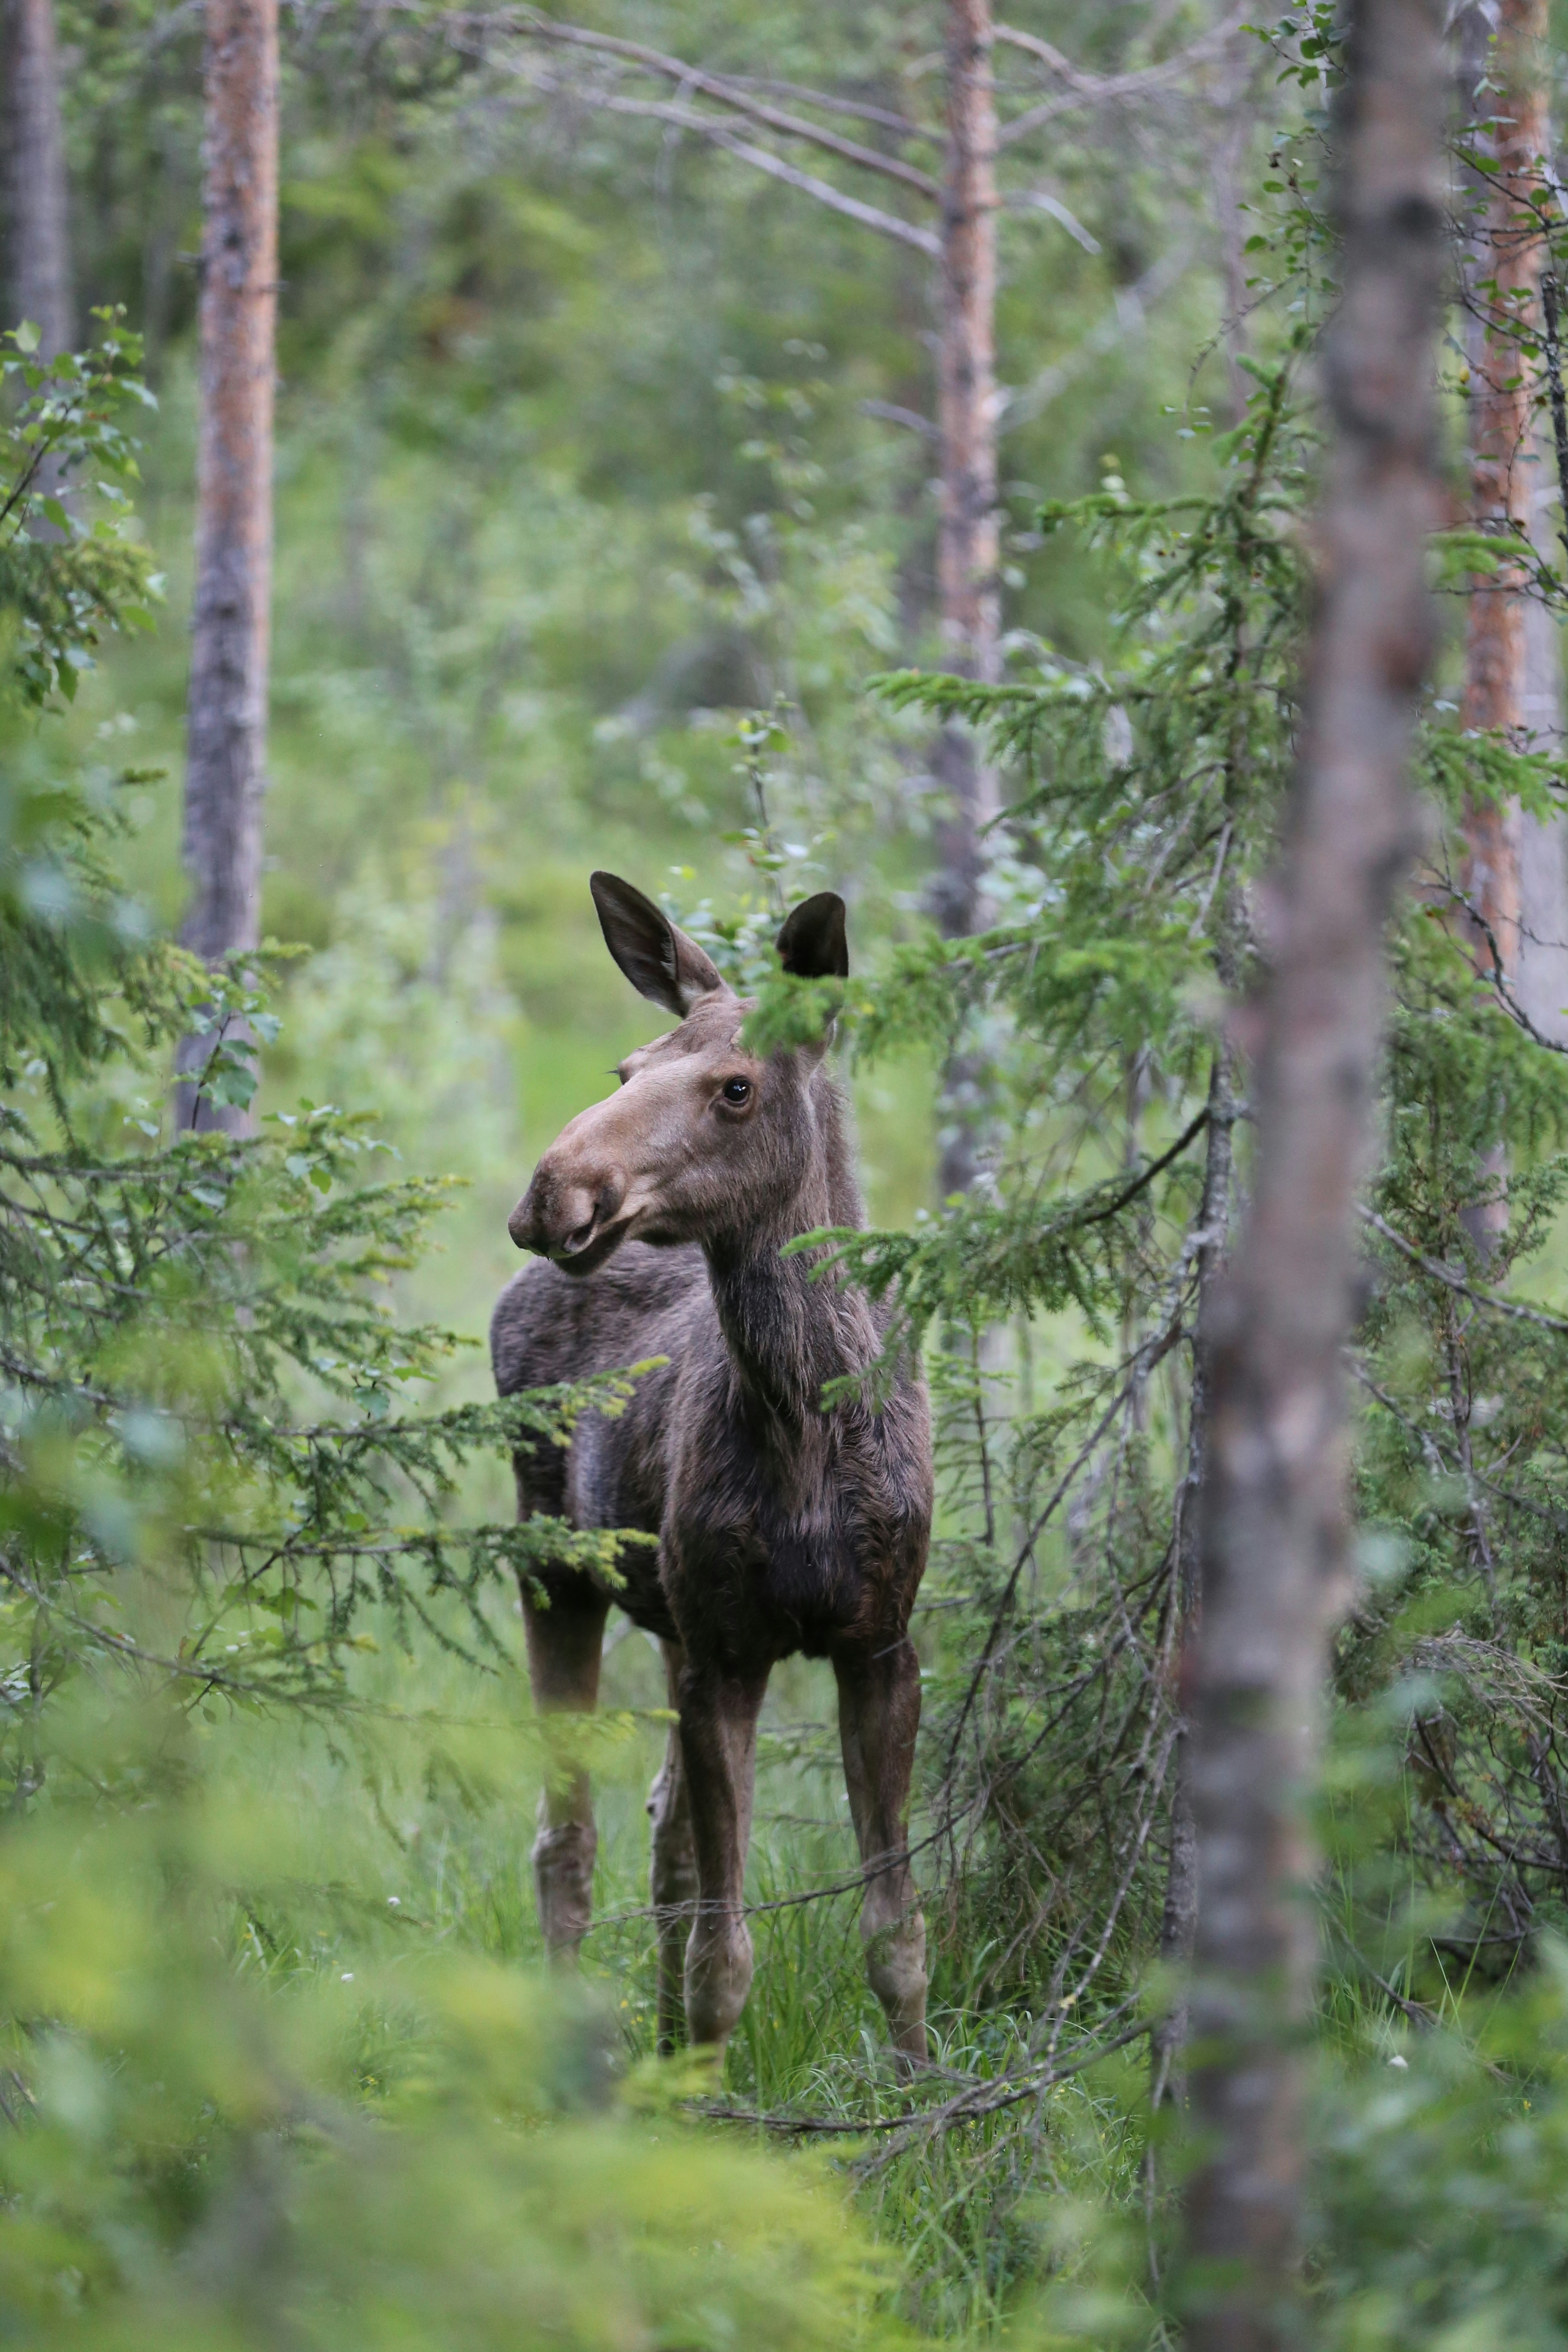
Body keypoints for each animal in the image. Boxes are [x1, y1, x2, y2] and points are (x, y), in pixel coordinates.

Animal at [491, 872, 932, 2071]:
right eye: (625, 1070)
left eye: (736, 1086)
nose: (554, 1192)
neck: (805, 1424)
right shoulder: (730, 1654)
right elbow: (724, 1956)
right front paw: (707, 2100)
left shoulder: (880, 1639)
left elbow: (897, 1932)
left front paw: (926, 2090)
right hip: (555, 1570)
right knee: (566, 1841)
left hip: (671, 1616)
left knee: (662, 1839)